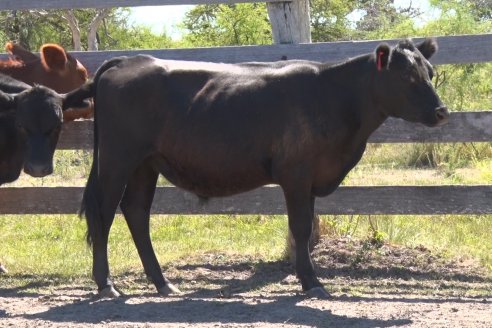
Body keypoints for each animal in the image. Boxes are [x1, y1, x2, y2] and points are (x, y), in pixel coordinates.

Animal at [63, 37, 448, 298]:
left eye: (430, 72)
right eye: (407, 77)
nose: (442, 111)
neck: (336, 98)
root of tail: (129, 60)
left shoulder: (311, 178)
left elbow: (304, 228)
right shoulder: (296, 174)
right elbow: (300, 228)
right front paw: (311, 283)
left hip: (146, 163)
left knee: (136, 212)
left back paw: (163, 283)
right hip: (117, 159)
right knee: (104, 213)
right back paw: (107, 285)